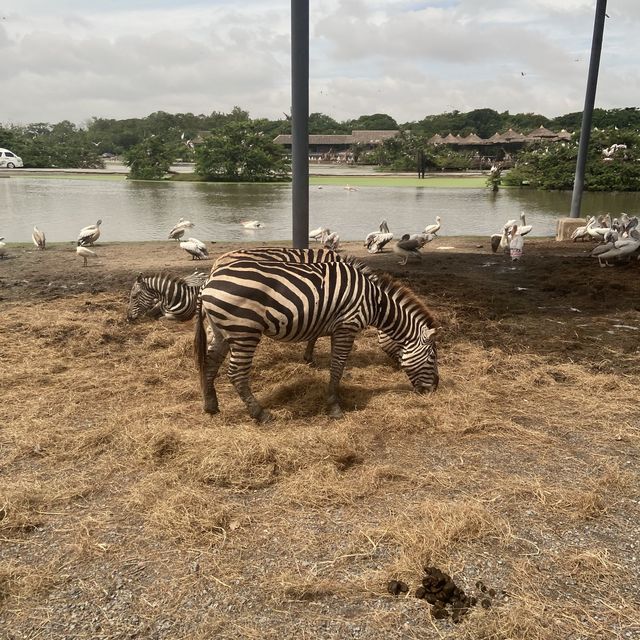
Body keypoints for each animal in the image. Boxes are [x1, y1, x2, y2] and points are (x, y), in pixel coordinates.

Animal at [192, 258, 438, 422]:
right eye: (432, 357)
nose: (434, 389)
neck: (375, 301)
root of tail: (209, 281)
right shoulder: (347, 326)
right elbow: (337, 366)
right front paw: (335, 407)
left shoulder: (328, 324)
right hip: (244, 330)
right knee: (236, 374)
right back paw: (261, 414)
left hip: (222, 330)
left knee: (210, 363)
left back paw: (211, 406)